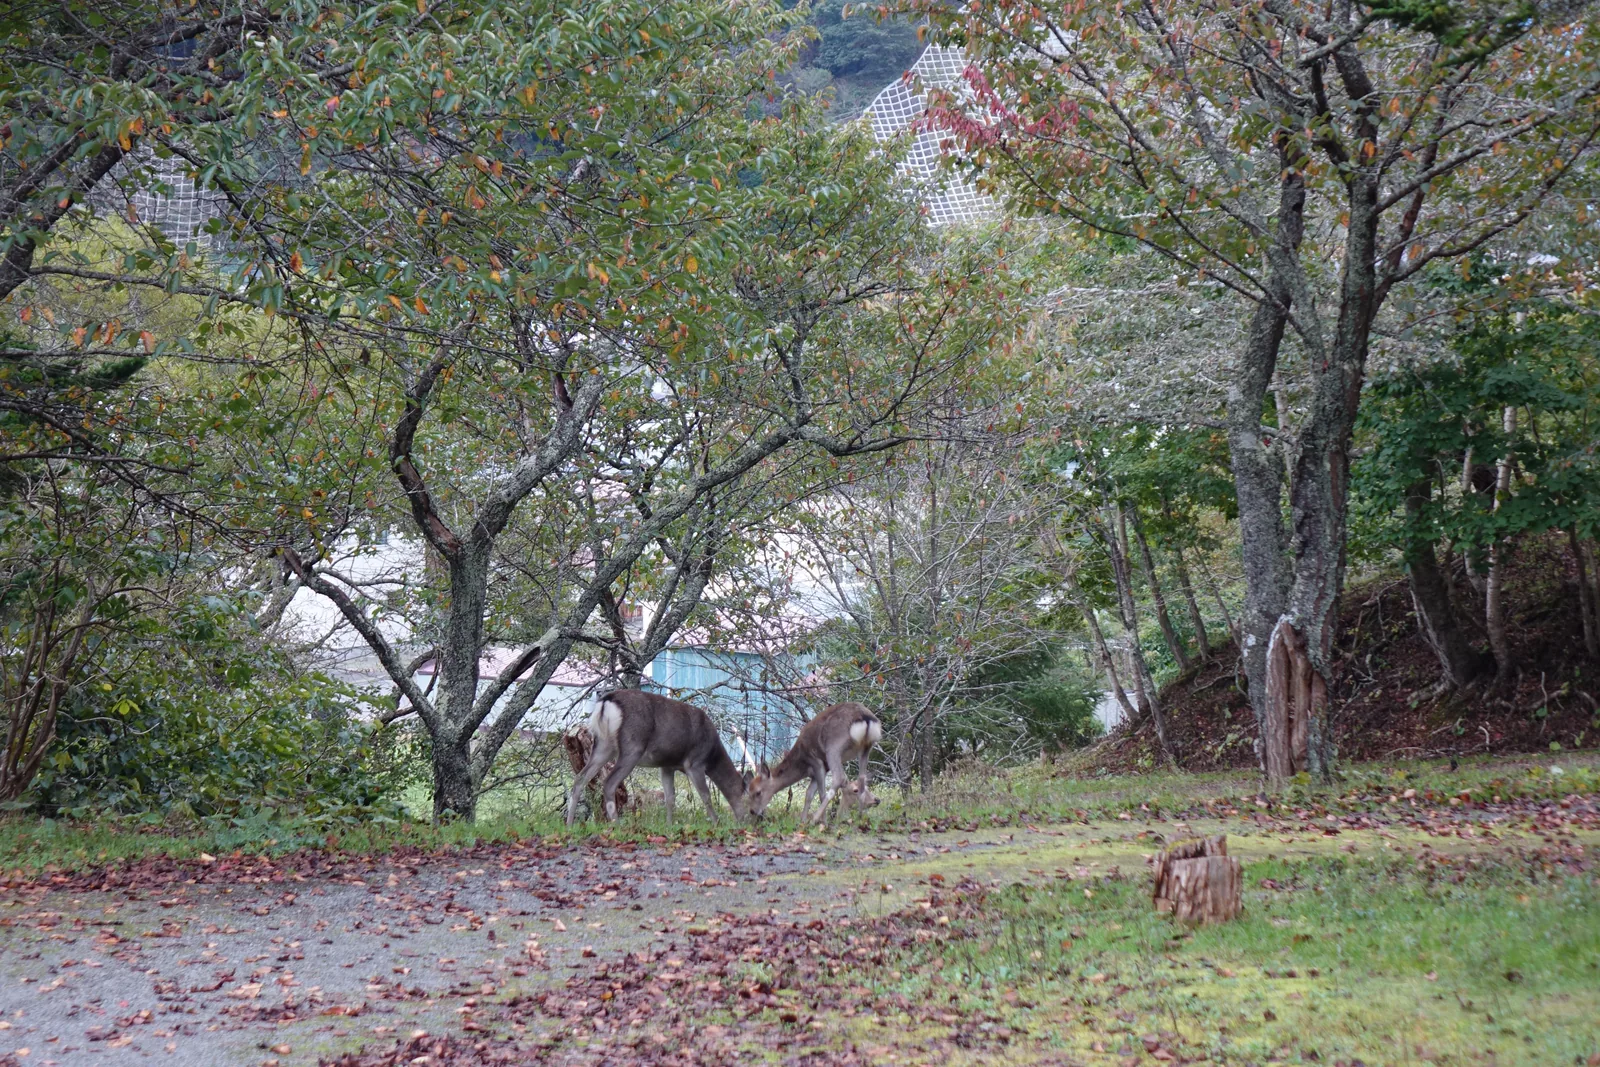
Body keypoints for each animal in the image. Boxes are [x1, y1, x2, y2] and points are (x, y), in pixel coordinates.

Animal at [564, 689, 749, 826]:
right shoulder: (694, 762)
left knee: (580, 778)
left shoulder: (667, 765)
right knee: (609, 782)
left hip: (603, 745)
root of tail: (605, 703)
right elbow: (705, 795)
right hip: (632, 746)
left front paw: (669, 825)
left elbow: (670, 798)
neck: (712, 754)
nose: (753, 823)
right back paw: (616, 825)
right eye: (754, 798)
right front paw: (717, 823)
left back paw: (569, 824)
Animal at [746, 701, 883, 826]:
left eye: (758, 792)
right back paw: (860, 816)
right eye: (749, 791)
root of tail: (866, 718)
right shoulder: (819, 771)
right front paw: (802, 821)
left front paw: (822, 823)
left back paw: (815, 819)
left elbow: (820, 794)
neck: (802, 766)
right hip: (866, 747)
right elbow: (809, 794)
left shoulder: (816, 761)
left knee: (839, 778)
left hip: (833, 747)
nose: (752, 811)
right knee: (861, 778)